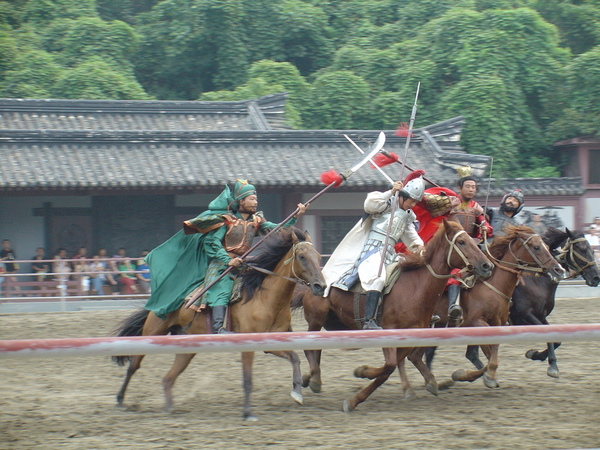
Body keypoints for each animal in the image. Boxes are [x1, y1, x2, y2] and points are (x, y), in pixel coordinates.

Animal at [112, 229, 328, 422]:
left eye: (318, 256)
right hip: (153, 331)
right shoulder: (249, 344)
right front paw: (247, 413)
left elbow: (295, 359)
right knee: (134, 365)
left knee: (168, 378)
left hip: (186, 348)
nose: (321, 286)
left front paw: (298, 391)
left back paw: (169, 407)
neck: (264, 298)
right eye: (302, 257)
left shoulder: (272, 343)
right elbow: (247, 380)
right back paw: (121, 399)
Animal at [290, 219, 492, 412]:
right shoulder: (389, 331)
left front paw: (358, 393)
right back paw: (313, 379)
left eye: (473, 240)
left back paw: (312, 379)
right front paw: (361, 376)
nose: (486, 265)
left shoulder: (410, 336)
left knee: (316, 349)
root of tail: (316, 282)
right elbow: (389, 366)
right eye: (461, 242)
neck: (415, 288)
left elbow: (393, 366)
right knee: (308, 347)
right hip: (316, 319)